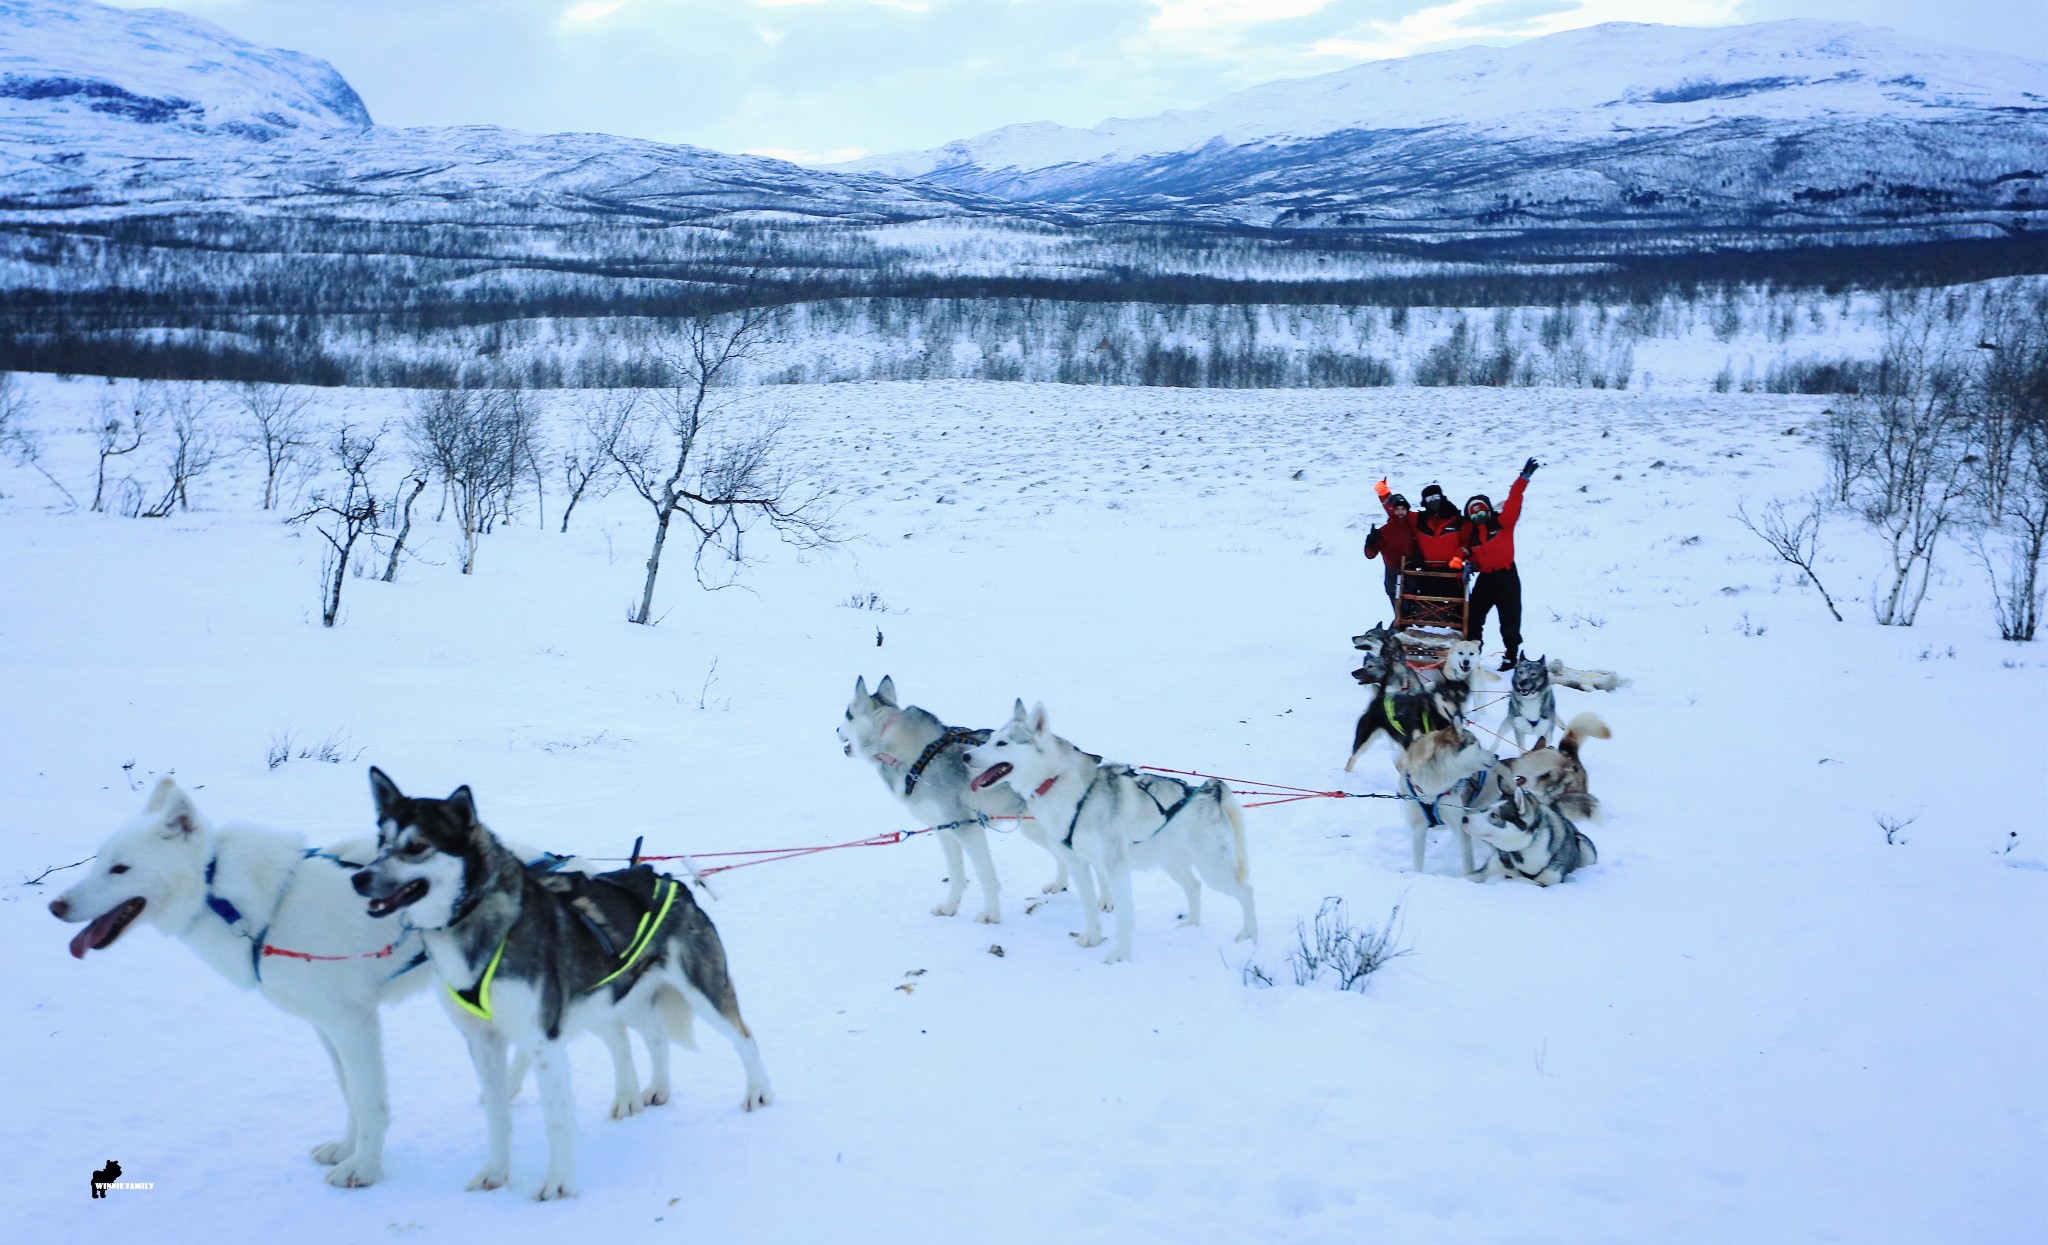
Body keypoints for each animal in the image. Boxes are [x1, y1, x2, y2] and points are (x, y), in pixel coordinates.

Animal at [48, 778, 659, 1187]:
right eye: (98, 861)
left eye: (120, 869)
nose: (55, 906)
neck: (249, 903)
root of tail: (578, 867)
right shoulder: (329, 1028)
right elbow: (349, 1095)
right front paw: (346, 1149)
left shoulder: (354, 1024)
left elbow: (370, 1100)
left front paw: (363, 1167)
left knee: (625, 1032)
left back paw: (634, 1096)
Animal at [352, 769, 770, 1195]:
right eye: (381, 841)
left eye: (417, 846)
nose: (359, 878)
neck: (480, 923)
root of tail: (672, 881)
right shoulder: (482, 1042)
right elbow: (498, 1115)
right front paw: (495, 1173)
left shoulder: (543, 1041)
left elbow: (556, 1119)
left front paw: (558, 1184)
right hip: (613, 1001)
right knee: (651, 1038)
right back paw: (652, 1089)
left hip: (702, 992)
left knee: (743, 1036)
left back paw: (758, 1092)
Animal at [839, 675, 1081, 917]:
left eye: (847, 714)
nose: (836, 730)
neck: (918, 756)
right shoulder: (944, 829)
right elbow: (956, 876)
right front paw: (949, 908)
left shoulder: (967, 828)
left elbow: (985, 875)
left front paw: (991, 915)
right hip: (1034, 828)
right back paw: (1059, 885)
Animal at [954, 700, 1245, 962]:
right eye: (990, 739)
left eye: (1002, 743)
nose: (965, 756)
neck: (1058, 783)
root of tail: (1211, 791)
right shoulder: (1078, 865)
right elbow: (1089, 908)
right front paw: (1092, 939)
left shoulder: (1116, 868)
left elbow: (1124, 917)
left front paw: (1120, 955)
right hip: (1172, 863)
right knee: (1194, 886)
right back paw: (1192, 925)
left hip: (1214, 870)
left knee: (1246, 891)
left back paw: (1247, 936)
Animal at [1392, 720, 1490, 876]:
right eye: (1479, 745)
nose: (1496, 756)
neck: (1431, 791)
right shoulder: (1417, 830)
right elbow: (1417, 864)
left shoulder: (1460, 829)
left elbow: (1467, 866)